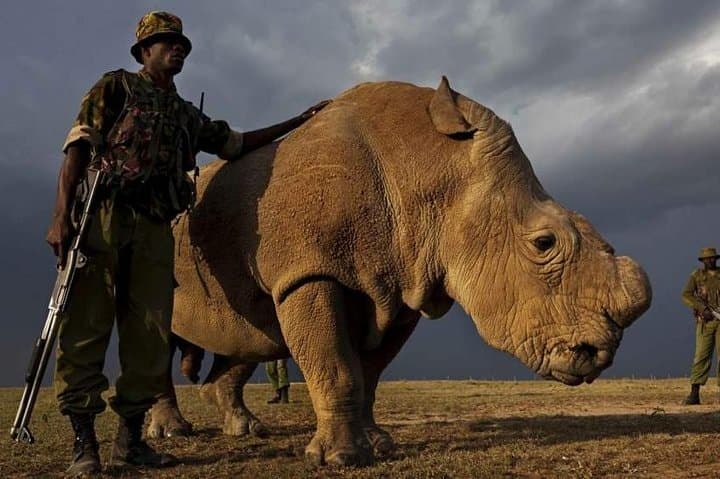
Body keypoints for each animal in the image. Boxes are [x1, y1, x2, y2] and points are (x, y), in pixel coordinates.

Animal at [148, 77, 651, 467]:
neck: (430, 167)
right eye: (544, 243)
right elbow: (336, 365)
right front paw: (339, 459)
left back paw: (245, 429)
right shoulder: (309, 272)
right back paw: (172, 434)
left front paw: (379, 446)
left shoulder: (404, 285)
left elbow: (368, 372)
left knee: (247, 336)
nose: (598, 355)